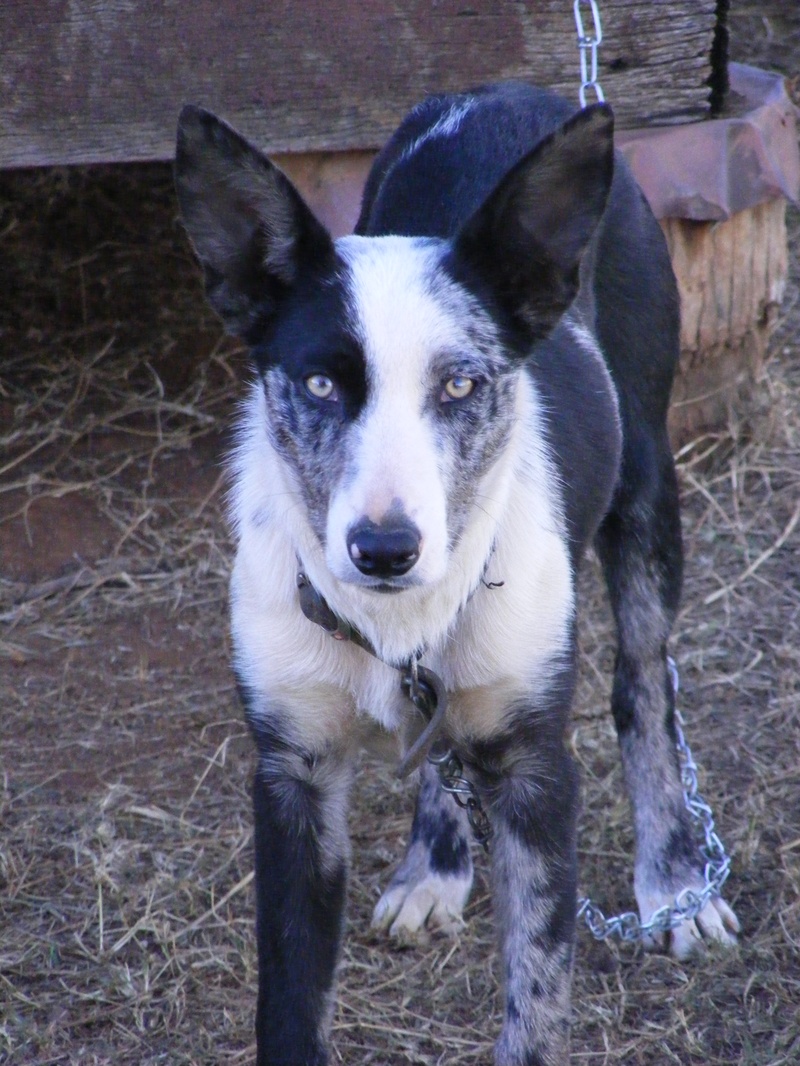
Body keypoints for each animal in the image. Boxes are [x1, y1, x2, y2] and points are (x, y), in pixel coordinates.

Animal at [174, 83, 738, 1066]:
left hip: (647, 479)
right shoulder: (291, 776)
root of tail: (510, 92)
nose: (384, 548)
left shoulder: (533, 772)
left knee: (643, 684)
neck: (393, 619)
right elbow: (289, 999)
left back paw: (673, 878)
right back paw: (435, 864)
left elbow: (537, 993)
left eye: (462, 386)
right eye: (319, 385)